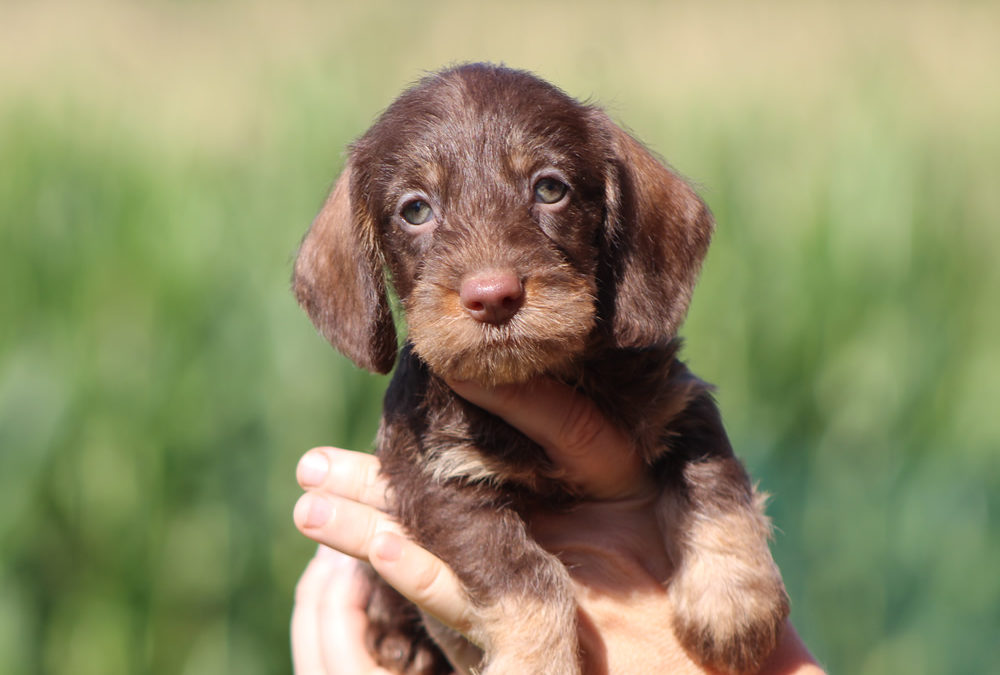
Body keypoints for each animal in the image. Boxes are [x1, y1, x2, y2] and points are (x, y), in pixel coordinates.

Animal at [294, 63, 788, 675]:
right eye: (415, 210)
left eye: (550, 189)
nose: (493, 296)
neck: (547, 375)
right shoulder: (436, 482)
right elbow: (528, 576)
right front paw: (537, 659)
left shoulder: (679, 401)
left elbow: (715, 483)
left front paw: (733, 600)